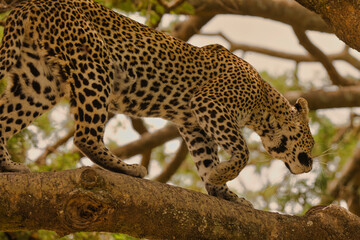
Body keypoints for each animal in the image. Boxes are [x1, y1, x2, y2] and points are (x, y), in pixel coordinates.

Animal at [0, 0, 316, 206]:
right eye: (310, 143)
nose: (312, 164)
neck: (264, 102)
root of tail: (31, 6)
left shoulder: (194, 125)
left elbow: (205, 159)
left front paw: (222, 190)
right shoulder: (210, 104)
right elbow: (242, 152)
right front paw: (221, 176)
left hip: (38, 83)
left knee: (5, 119)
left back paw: (9, 166)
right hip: (94, 65)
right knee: (85, 136)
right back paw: (127, 169)